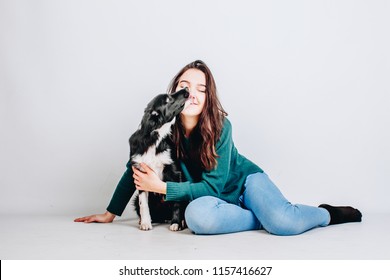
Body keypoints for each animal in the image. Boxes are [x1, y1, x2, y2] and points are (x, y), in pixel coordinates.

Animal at [131, 88, 190, 231]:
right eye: (168, 99)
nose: (186, 89)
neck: (155, 138)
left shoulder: (175, 172)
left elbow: (176, 200)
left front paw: (176, 223)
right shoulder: (140, 174)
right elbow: (143, 203)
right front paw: (146, 223)